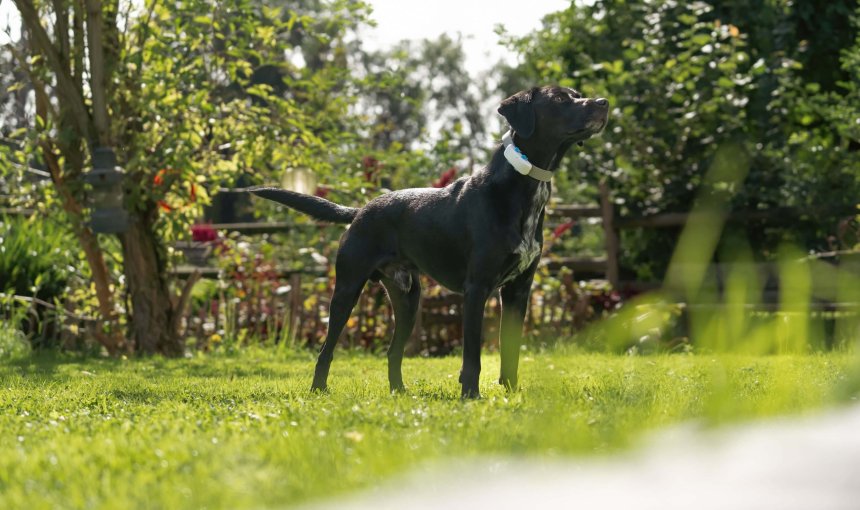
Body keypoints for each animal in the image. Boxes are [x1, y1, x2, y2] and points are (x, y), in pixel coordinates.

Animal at [252, 85, 608, 396]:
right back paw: (319, 391)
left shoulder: (519, 290)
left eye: (578, 94)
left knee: (393, 352)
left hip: (408, 297)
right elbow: (472, 357)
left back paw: (399, 393)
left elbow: (511, 351)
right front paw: (471, 396)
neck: (524, 184)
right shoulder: (477, 289)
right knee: (326, 349)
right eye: (560, 99)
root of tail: (360, 211)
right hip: (347, 290)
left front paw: (511, 393)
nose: (603, 102)